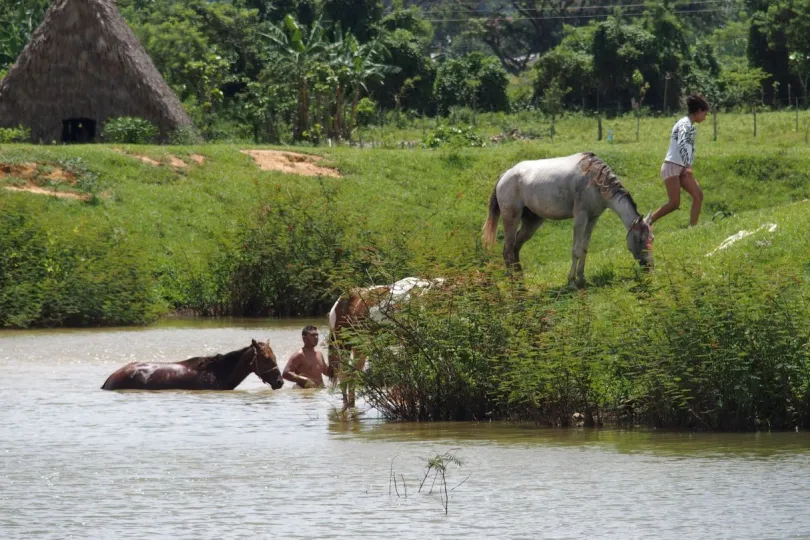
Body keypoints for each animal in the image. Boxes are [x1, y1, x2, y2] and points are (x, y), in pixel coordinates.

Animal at [480, 152, 652, 286]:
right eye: (639, 239)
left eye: (652, 238)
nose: (649, 266)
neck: (595, 180)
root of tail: (504, 176)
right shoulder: (580, 217)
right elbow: (576, 250)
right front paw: (571, 281)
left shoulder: (593, 218)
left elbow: (584, 248)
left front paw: (582, 278)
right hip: (511, 218)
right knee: (507, 250)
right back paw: (514, 285)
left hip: (532, 221)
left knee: (515, 248)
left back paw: (521, 281)